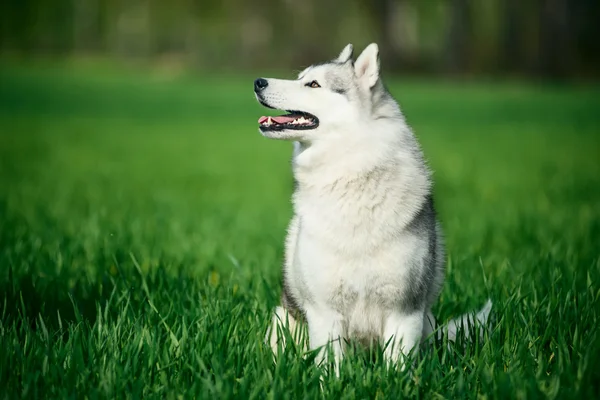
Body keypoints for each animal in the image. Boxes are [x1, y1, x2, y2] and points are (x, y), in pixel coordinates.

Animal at [253, 42, 492, 374]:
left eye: (313, 84)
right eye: (301, 77)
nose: (258, 82)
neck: (351, 177)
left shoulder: (405, 310)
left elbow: (397, 368)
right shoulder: (325, 313)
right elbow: (330, 367)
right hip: (281, 322)